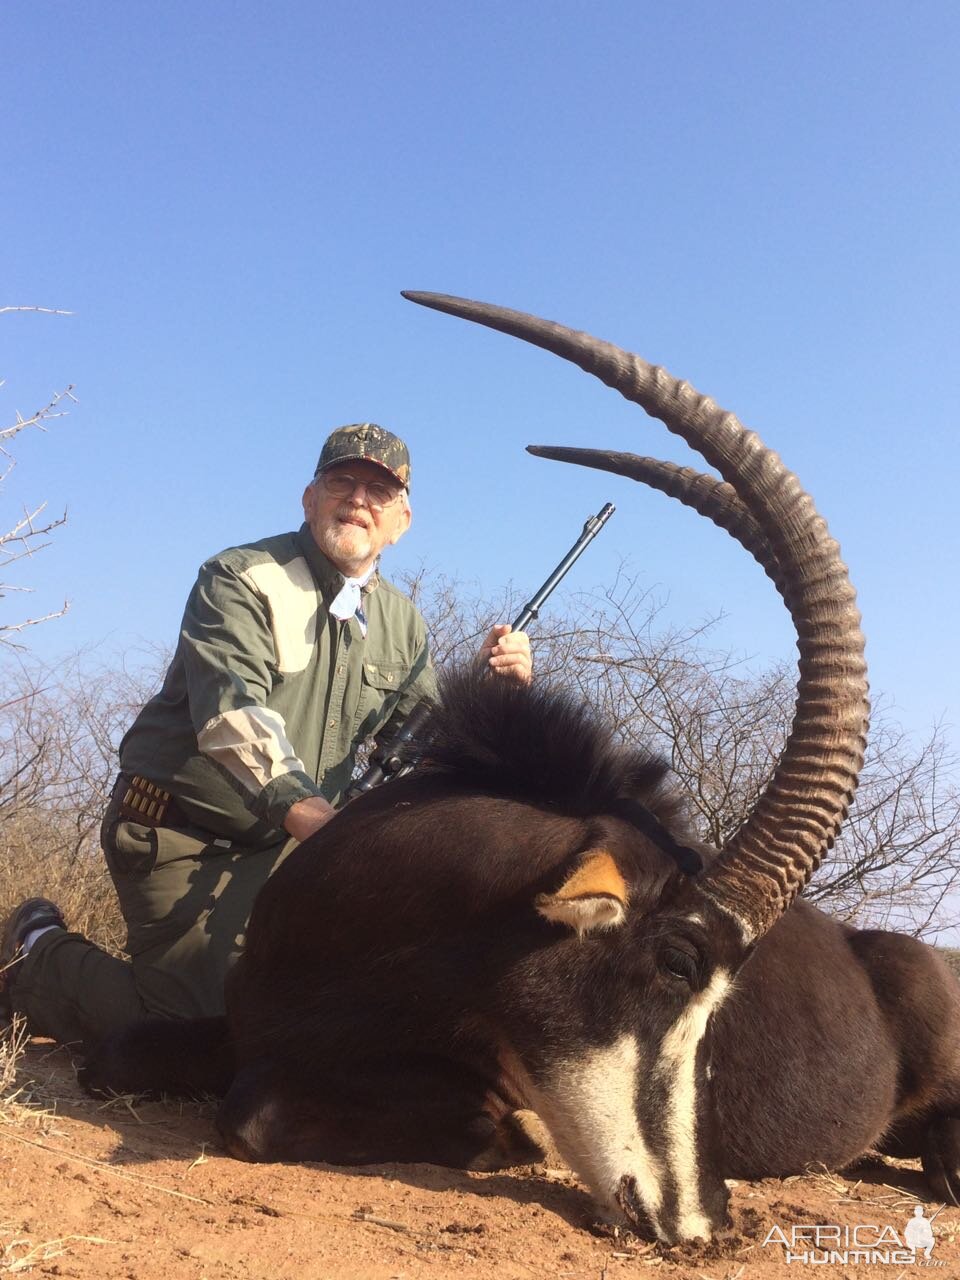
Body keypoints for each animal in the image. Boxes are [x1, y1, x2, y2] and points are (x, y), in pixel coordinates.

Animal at [82, 294, 960, 1244]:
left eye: (726, 999)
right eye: (679, 964)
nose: (703, 1222)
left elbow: (258, 1109)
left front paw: (519, 1135)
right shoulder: (242, 1026)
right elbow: (117, 1052)